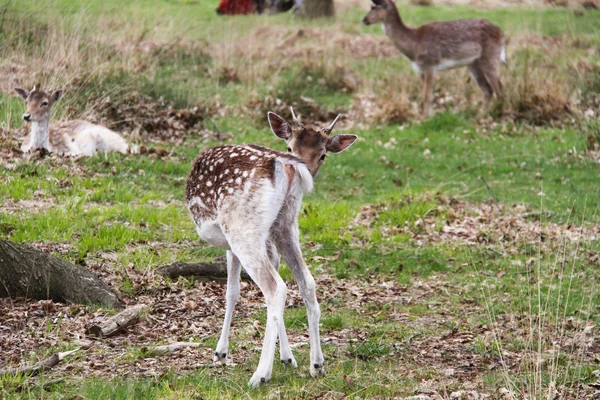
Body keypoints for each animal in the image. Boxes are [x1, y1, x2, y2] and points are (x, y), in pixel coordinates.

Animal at [185, 108, 358, 386]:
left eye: (323, 154)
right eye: (289, 144)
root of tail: (287, 166)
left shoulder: (232, 244)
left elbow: (232, 291)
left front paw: (221, 353)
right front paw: (288, 357)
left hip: (242, 228)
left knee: (275, 287)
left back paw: (260, 375)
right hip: (286, 225)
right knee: (307, 282)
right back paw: (317, 364)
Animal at [360, 0, 506, 117]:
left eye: (374, 7)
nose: (364, 19)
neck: (414, 45)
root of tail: (501, 33)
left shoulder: (430, 64)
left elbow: (426, 95)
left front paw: (424, 119)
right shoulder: (420, 69)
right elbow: (429, 95)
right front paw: (429, 117)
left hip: (491, 57)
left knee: (499, 89)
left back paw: (498, 115)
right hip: (473, 63)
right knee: (488, 89)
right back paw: (481, 115)